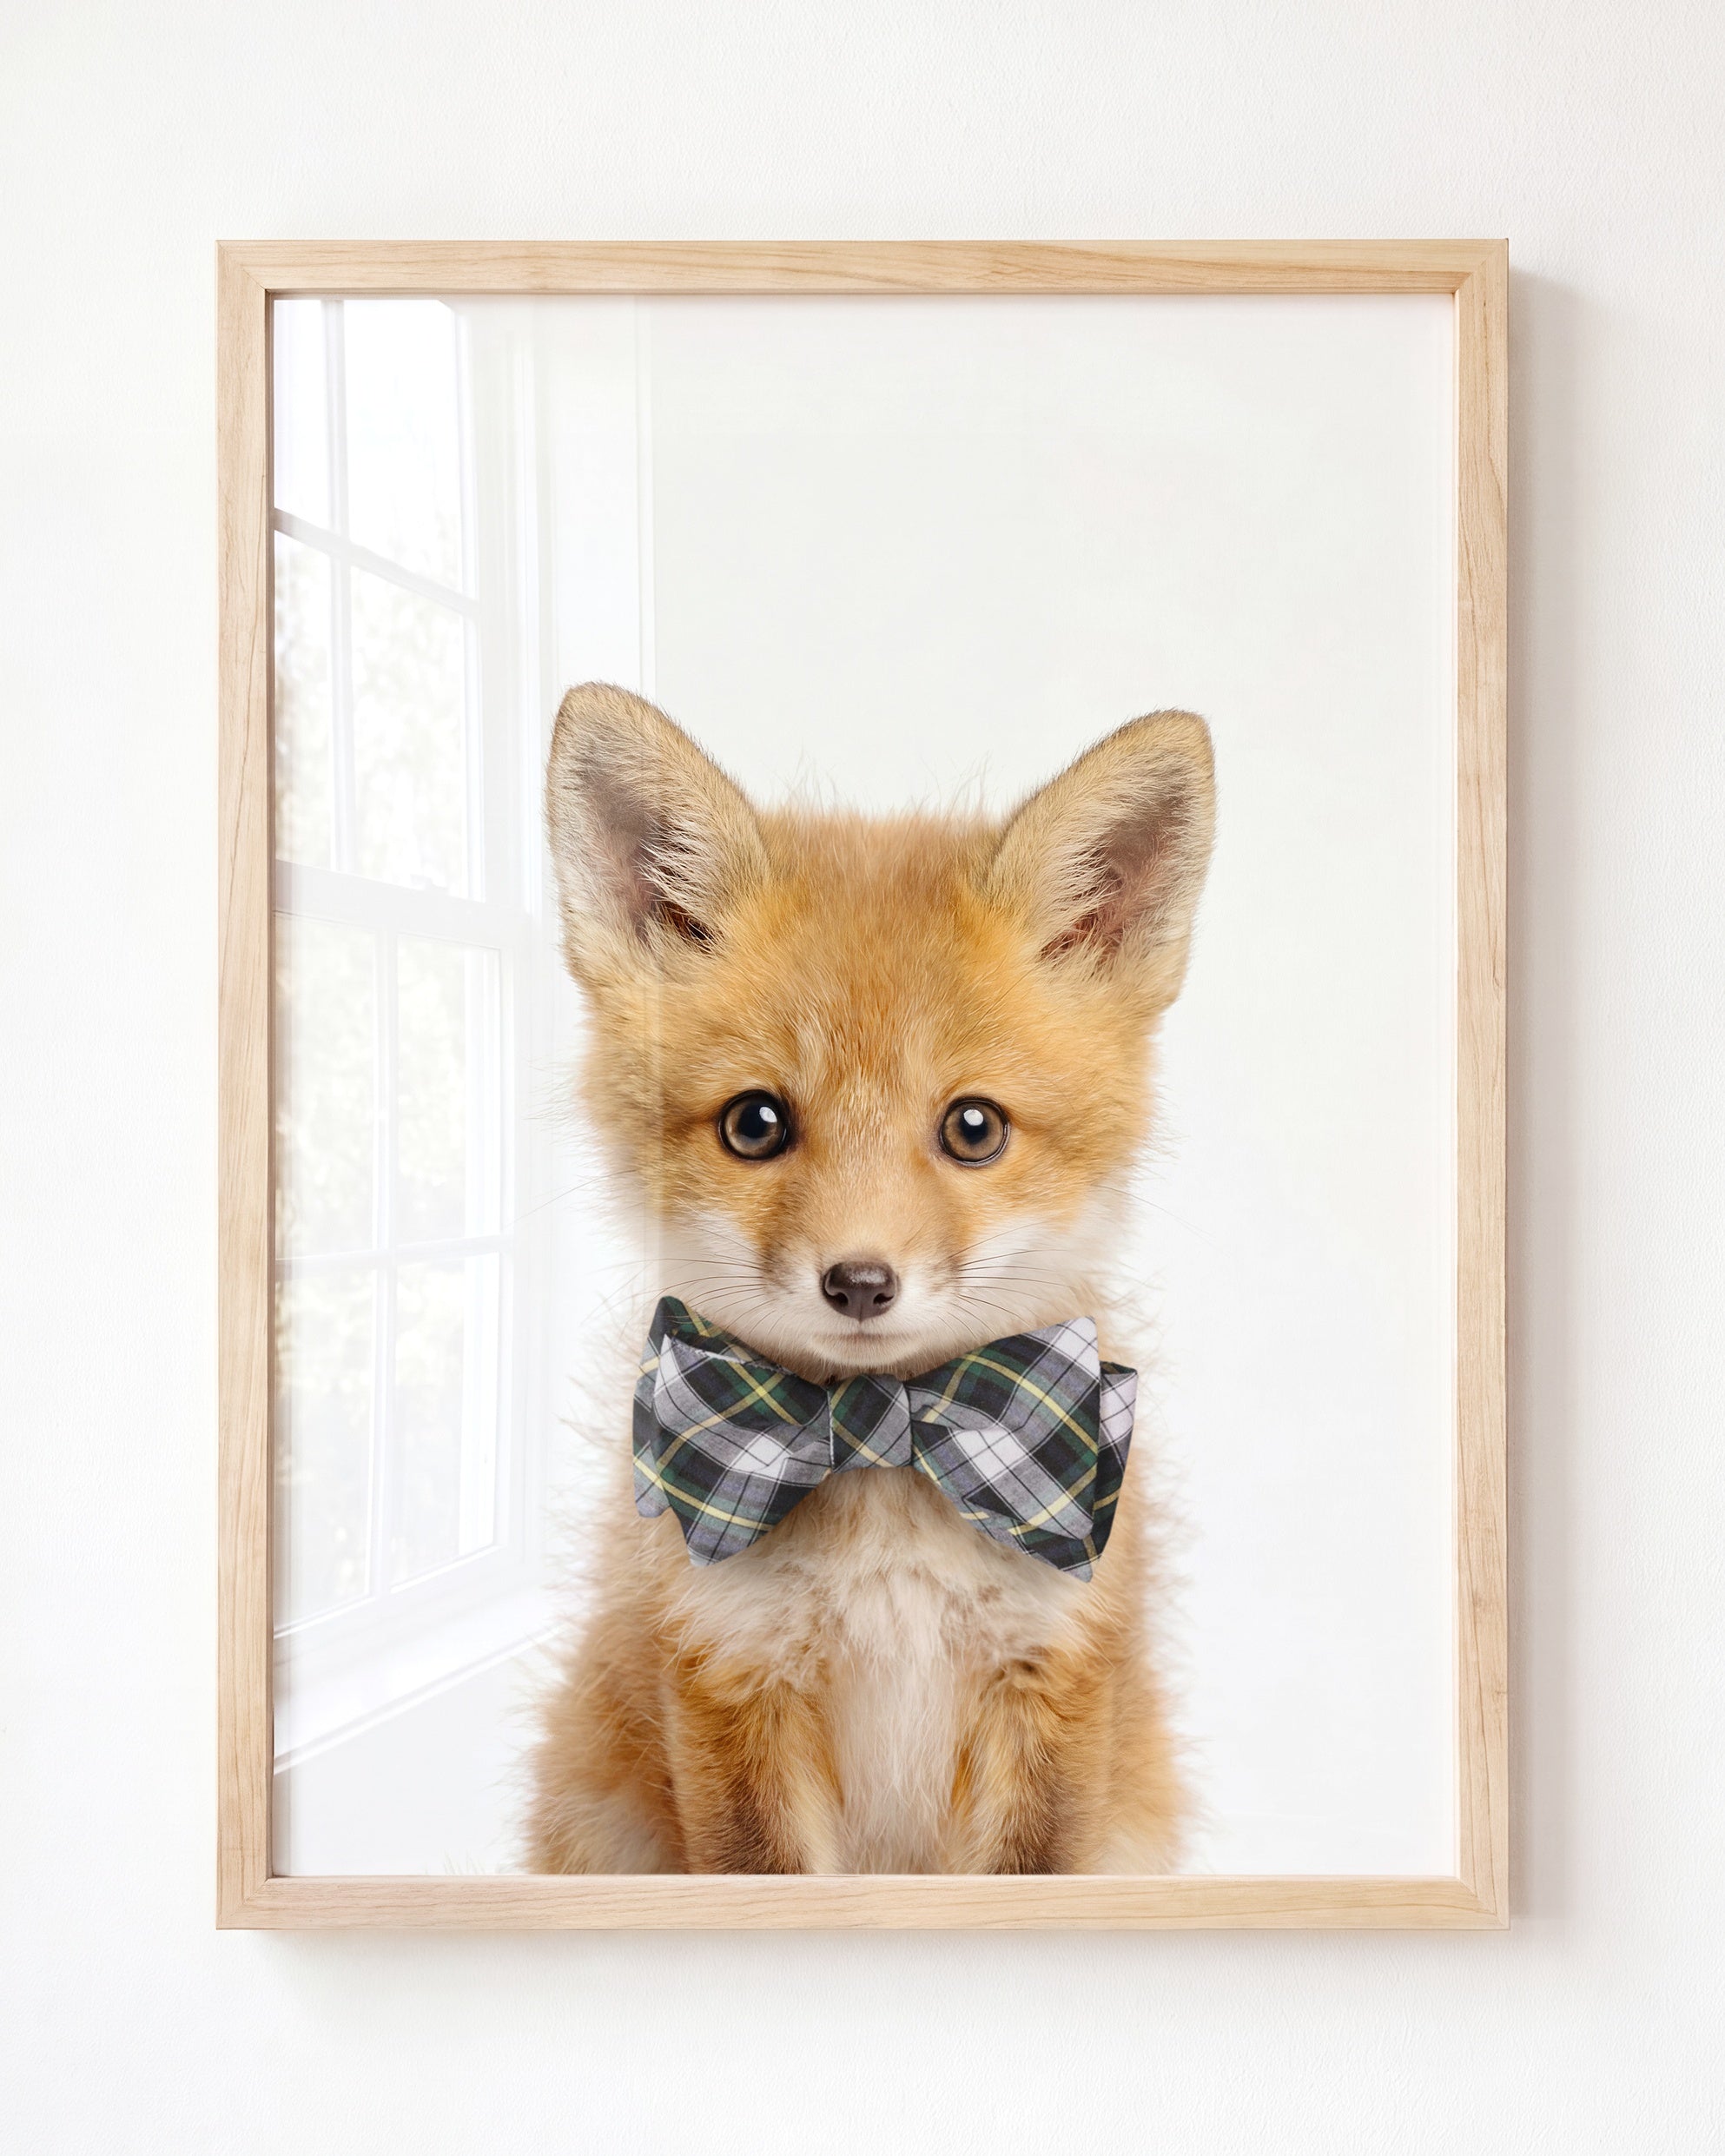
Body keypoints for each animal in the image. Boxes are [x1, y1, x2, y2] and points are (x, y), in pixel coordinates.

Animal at [523, 682, 1215, 1875]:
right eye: (755, 1123)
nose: (858, 1282)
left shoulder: (1052, 1680)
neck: (886, 1445)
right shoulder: (729, 1674)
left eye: (974, 1128)